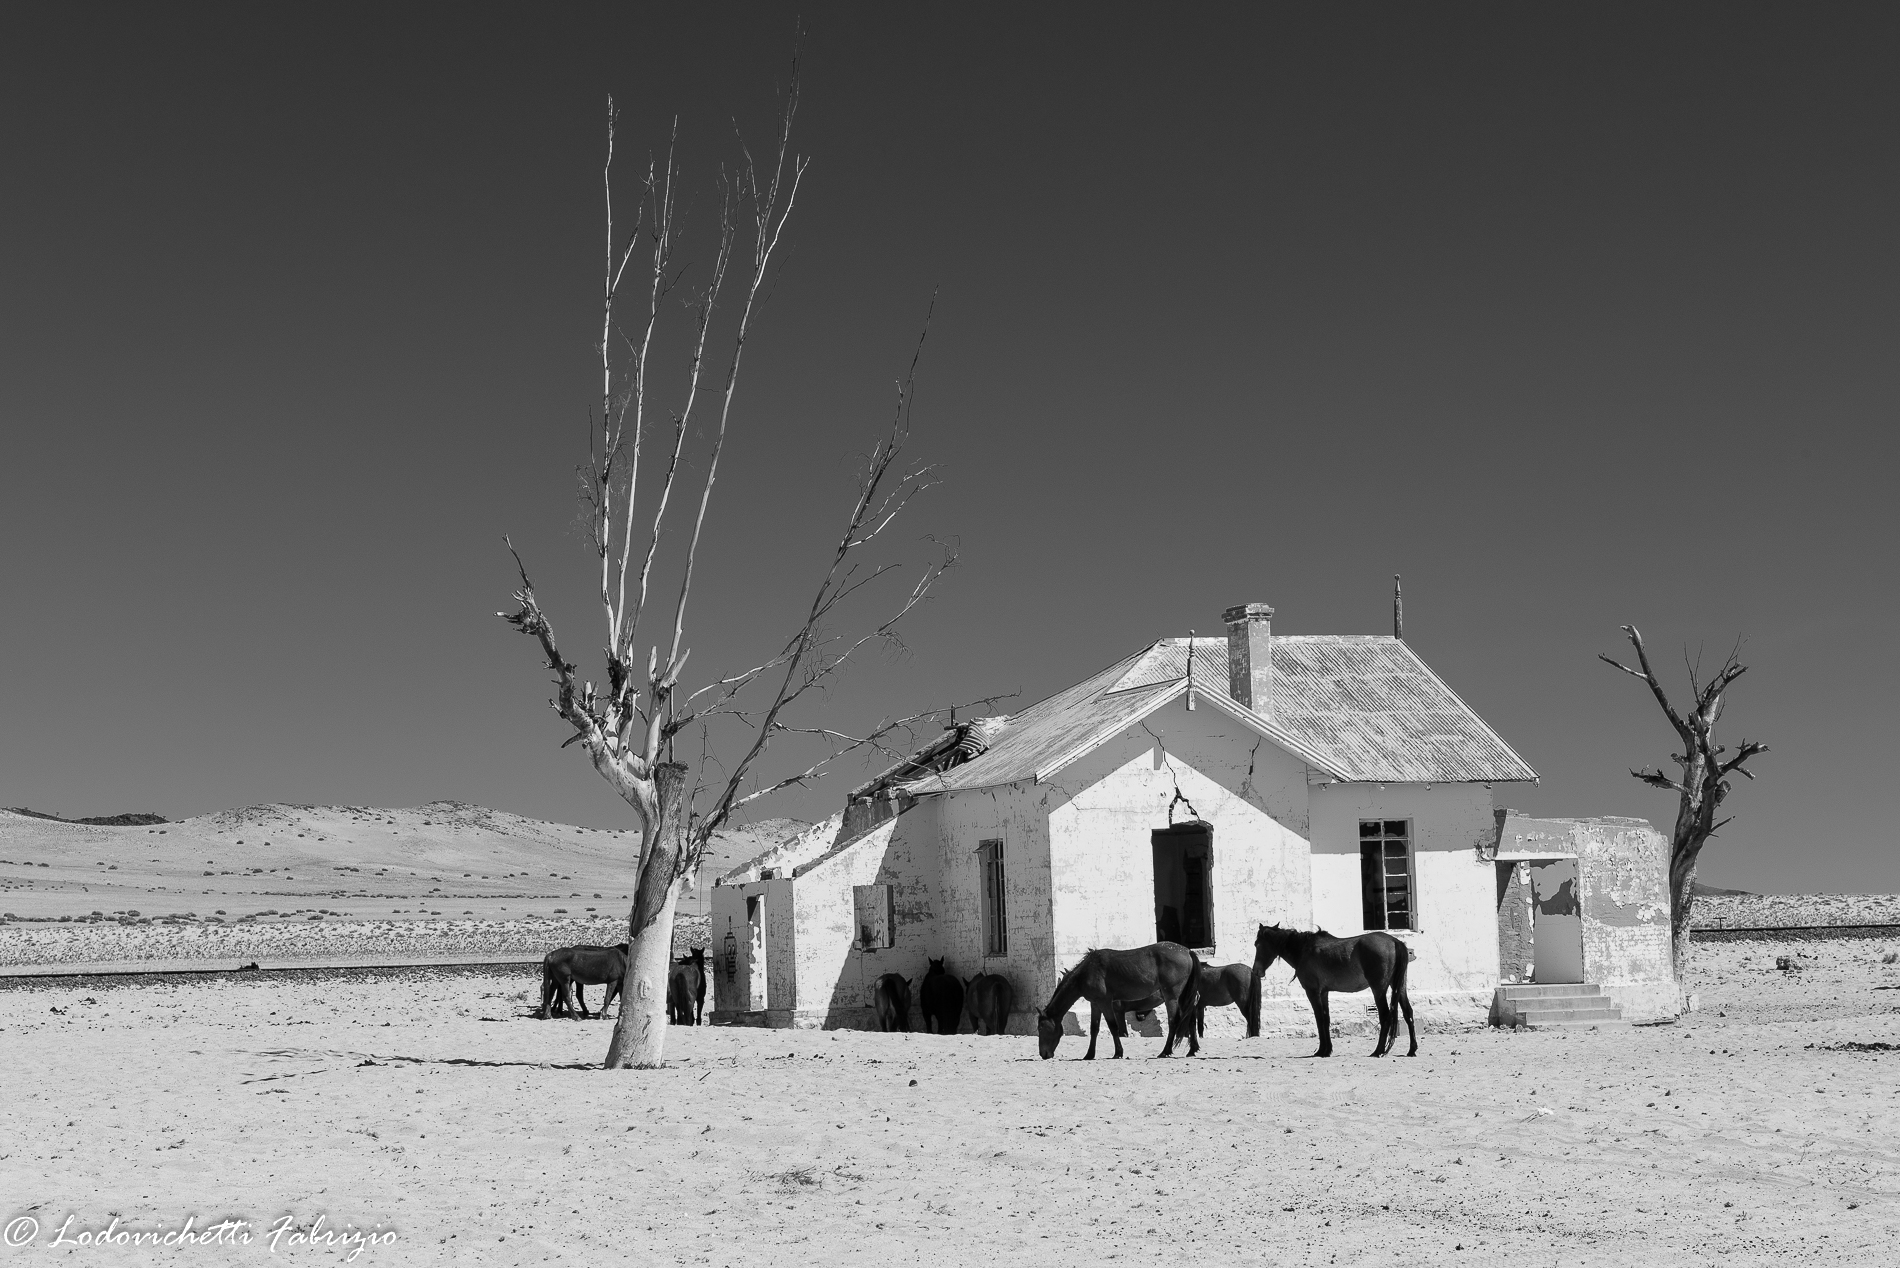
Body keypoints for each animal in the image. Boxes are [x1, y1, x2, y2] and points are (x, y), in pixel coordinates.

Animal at [1041, 942, 1200, 1064]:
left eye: (1041, 1028)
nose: (1043, 1054)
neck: (1087, 971)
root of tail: (1187, 950)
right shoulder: (1095, 1004)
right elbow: (1094, 1029)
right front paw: (1089, 1055)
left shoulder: (1105, 1003)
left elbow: (1113, 1027)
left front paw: (1118, 1052)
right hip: (1183, 997)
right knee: (1191, 1020)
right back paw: (1192, 1050)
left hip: (1171, 997)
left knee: (1173, 1021)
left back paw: (1165, 1051)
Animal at [1254, 923, 1421, 1064]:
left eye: (1257, 944)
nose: (1256, 971)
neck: (1303, 950)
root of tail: (1394, 941)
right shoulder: (1324, 993)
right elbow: (1326, 1019)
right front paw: (1327, 1049)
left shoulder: (1313, 992)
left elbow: (1320, 1019)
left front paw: (1322, 1051)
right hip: (1400, 987)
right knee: (1408, 1013)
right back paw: (1411, 1049)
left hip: (1378, 989)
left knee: (1385, 1016)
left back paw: (1378, 1051)